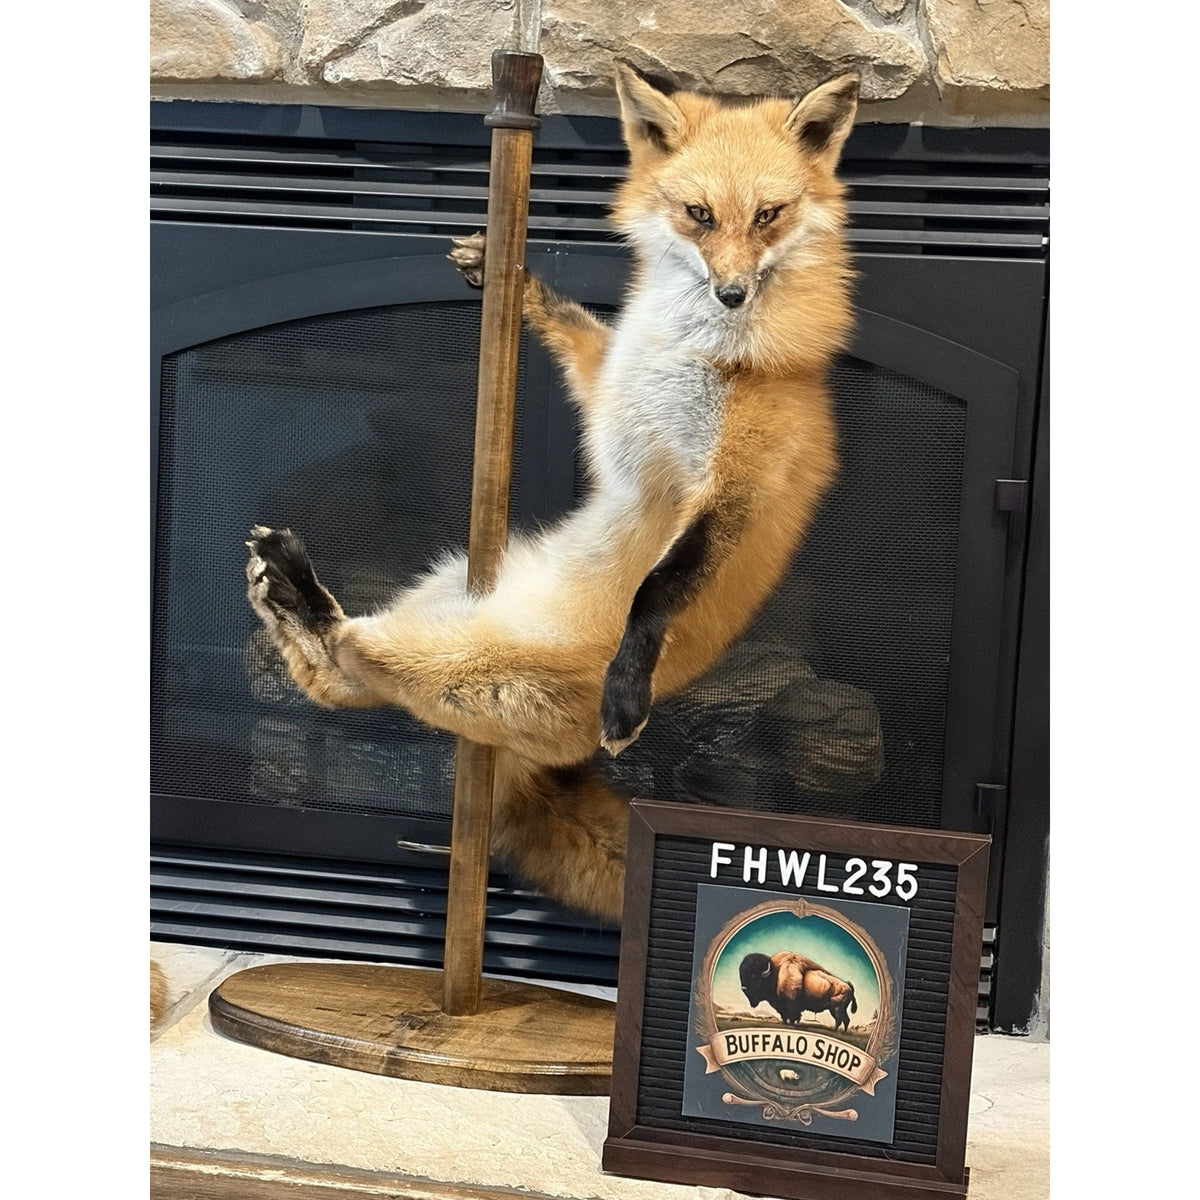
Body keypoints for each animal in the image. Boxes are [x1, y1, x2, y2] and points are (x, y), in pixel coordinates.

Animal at [244, 61, 859, 924]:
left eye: (769, 215)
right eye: (699, 214)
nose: (732, 294)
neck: (691, 345)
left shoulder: (735, 486)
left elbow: (661, 587)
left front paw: (627, 692)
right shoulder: (610, 390)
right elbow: (572, 326)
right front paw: (509, 276)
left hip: (462, 668)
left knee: (352, 665)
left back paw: (298, 594)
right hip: (441, 587)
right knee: (332, 682)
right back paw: (280, 593)